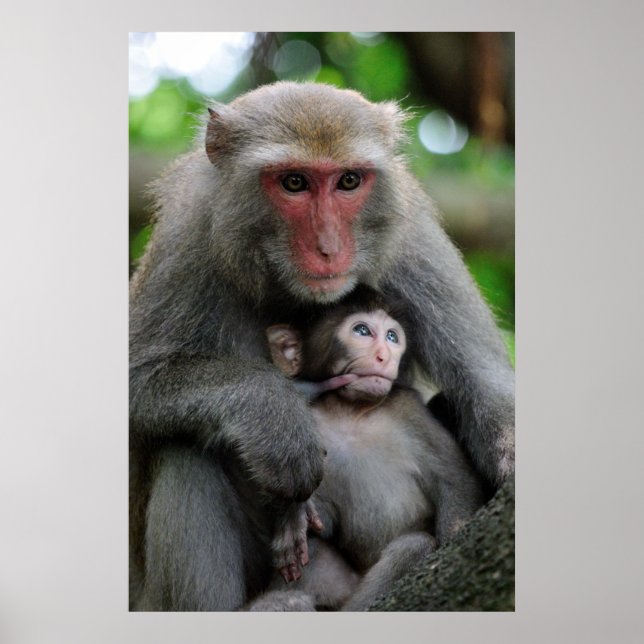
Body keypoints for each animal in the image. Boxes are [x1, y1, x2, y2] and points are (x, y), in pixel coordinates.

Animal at [244, 298, 483, 611]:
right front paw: (294, 513)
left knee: (413, 546)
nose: (385, 356)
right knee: (315, 551)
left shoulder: (410, 411)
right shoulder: (310, 425)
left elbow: (454, 480)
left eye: (392, 336)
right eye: (362, 331)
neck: (351, 414)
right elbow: (321, 521)